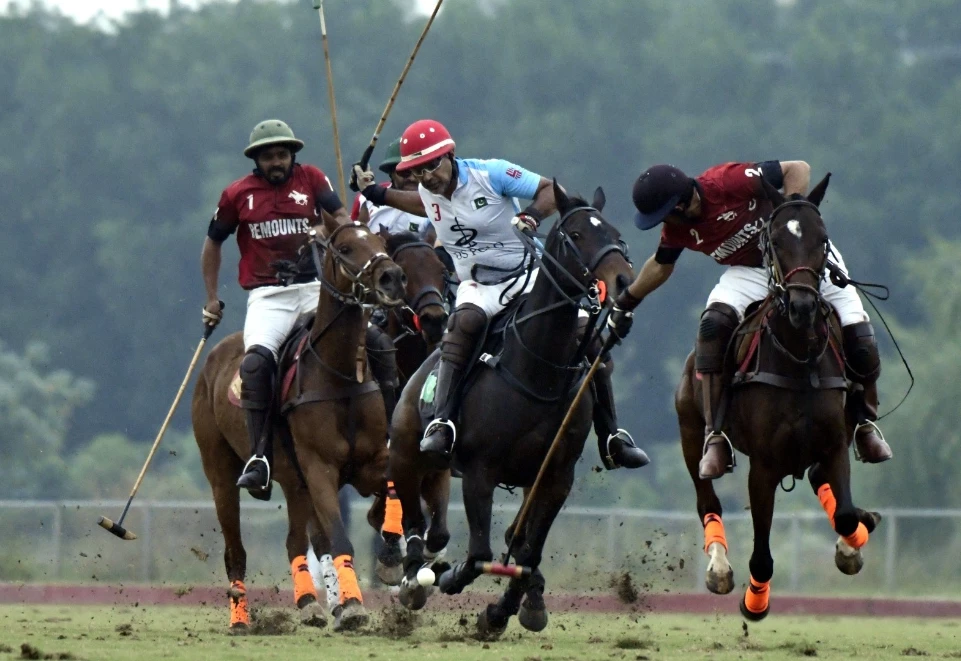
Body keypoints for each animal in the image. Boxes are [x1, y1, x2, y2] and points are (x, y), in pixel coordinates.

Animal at [191, 217, 404, 628]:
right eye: (346, 248)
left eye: (381, 241)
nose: (392, 277)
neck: (338, 374)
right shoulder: (319, 467)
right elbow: (340, 537)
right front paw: (355, 606)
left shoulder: (373, 461)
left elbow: (389, 496)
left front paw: (388, 559)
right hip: (221, 472)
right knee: (236, 550)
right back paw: (243, 618)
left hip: (293, 482)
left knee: (298, 540)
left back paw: (314, 603)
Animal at [386, 180, 632, 636]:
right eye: (575, 235)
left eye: (613, 231)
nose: (623, 280)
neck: (538, 370)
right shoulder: (480, 471)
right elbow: (481, 553)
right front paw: (452, 577)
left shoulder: (556, 477)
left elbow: (527, 550)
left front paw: (511, 609)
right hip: (407, 455)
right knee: (412, 520)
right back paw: (414, 578)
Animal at [672, 174, 880, 620]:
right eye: (777, 240)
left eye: (822, 238)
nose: (802, 306)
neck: (799, 356)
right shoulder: (764, 464)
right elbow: (762, 557)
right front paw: (754, 602)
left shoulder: (834, 444)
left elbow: (845, 515)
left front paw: (851, 544)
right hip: (690, 431)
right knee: (705, 496)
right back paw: (718, 568)